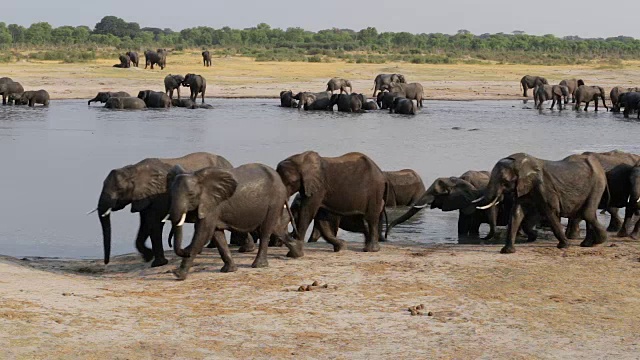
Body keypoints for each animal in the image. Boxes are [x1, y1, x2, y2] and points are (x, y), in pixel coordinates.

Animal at [94, 152, 234, 268]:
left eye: (119, 189)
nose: (106, 262)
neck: (133, 169)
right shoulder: (144, 198)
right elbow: (145, 224)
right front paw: (148, 257)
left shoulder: (158, 195)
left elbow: (154, 224)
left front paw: (158, 263)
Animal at [166, 163, 294, 282]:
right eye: (171, 194)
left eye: (191, 194)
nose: (185, 250)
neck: (198, 176)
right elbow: (217, 236)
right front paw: (229, 270)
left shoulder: (212, 205)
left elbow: (203, 234)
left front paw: (178, 275)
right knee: (275, 228)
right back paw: (295, 252)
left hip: (275, 200)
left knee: (265, 231)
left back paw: (258, 265)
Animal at [472, 153, 608, 253]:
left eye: (504, 181)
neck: (522, 164)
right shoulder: (523, 188)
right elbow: (516, 213)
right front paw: (507, 251)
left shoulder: (544, 187)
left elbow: (550, 212)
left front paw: (564, 245)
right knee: (588, 214)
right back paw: (587, 244)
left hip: (598, 183)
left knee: (587, 213)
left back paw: (599, 241)